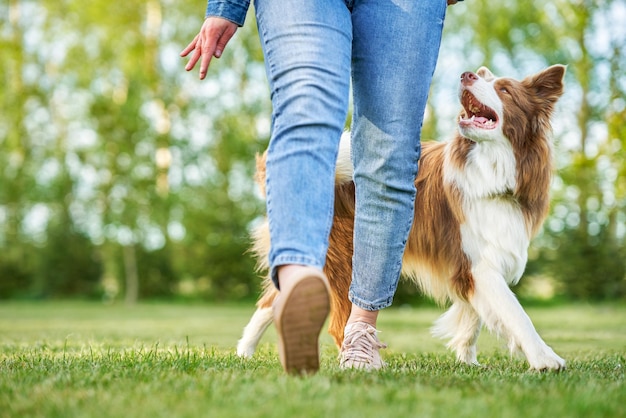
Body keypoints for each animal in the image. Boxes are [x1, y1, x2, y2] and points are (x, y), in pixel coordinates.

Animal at [235, 63, 564, 370]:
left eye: (505, 90)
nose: (467, 75)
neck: (491, 169)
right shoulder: (478, 262)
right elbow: (515, 313)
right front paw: (545, 358)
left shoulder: (475, 260)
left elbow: (475, 317)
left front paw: (467, 361)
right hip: (341, 261)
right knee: (335, 322)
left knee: (272, 299)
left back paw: (244, 351)